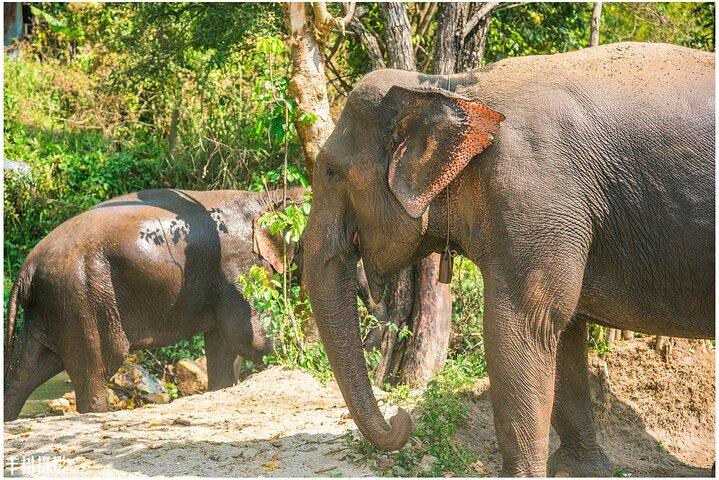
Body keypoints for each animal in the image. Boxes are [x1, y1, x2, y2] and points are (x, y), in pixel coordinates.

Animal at [4, 187, 306, 420]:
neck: (267, 196)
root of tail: (28, 267)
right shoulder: (235, 265)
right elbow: (247, 337)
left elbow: (222, 345)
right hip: (79, 298)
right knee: (96, 369)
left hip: (52, 306)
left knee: (25, 368)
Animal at [302, 42, 716, 476]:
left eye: (330, 171)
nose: (401, 417)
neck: (452, 87)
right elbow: (563, 330)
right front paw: (580, 469)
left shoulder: (533, 194)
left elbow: (526, 322)